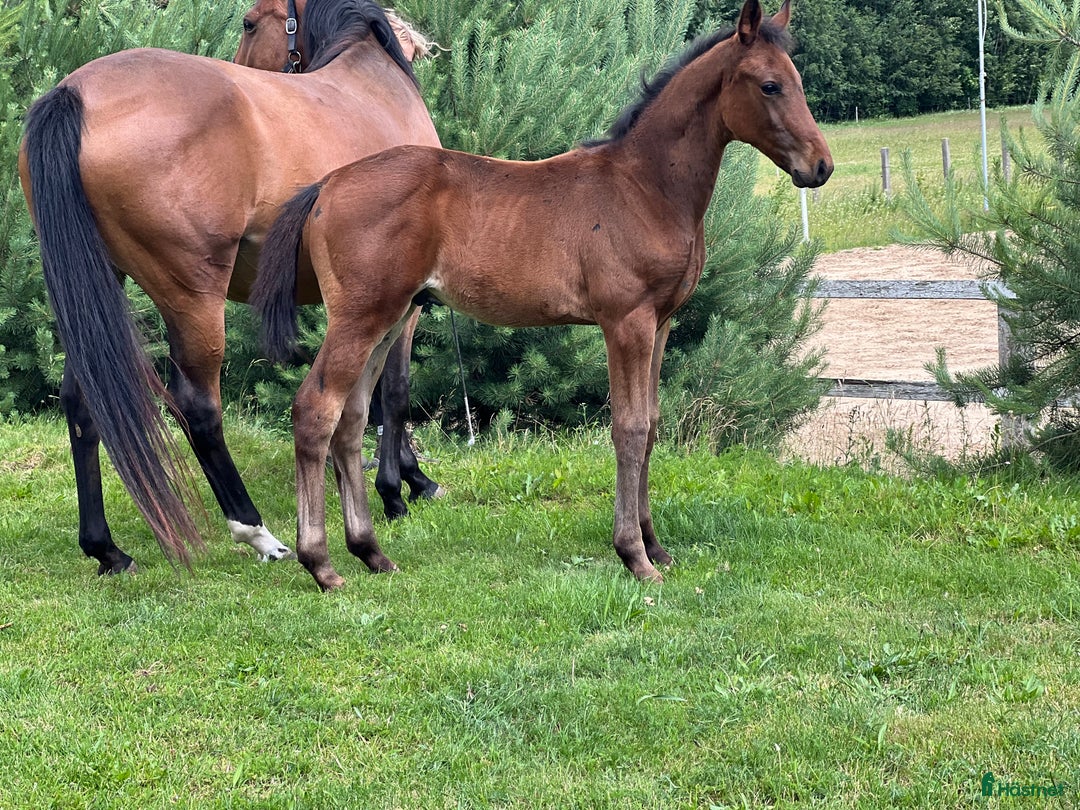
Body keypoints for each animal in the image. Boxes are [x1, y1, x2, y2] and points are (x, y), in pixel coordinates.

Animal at [19, 0, 442, 576]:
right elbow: (394, 393)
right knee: (199, 409)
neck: (376, 84)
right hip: (193, 299)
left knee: (81, 403)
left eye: (247, 23)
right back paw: (257, 532)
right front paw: (401, 488)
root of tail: (76, 93)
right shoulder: (402, 304)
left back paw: (106, 549)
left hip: (98, 293)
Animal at [252, 0, 834, 591]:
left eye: (798, 81)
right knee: (315, 410)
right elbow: (628, 428)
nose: (821, 166)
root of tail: (327, 185)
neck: (644, 188)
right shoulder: (626, 322)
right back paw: (321, 563)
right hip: (362, 317)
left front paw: (656, 545)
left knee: (350, 418)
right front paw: (634, 555)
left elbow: (651, 426)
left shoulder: (662, 321)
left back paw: (371, 552)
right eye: (769, 85)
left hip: (389, 319)